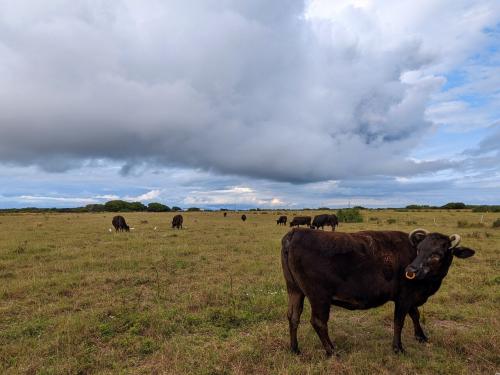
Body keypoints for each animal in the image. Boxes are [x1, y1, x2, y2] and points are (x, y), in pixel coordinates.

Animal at [284, 228, 474, 356]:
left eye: (437, 254)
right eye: (420, 249)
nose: (411, 270)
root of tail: (296, 232)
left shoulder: (410, 298)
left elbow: (415, 315)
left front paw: (421, 336)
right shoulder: (404, 298)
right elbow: (399, 322)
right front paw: (398, 348)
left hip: (294, 290)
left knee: (293, 317)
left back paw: (295, 349)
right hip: (319, 298)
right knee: (318, 322)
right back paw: (332, 352)